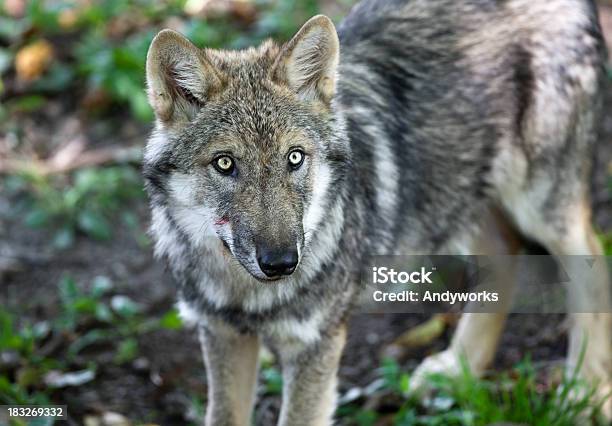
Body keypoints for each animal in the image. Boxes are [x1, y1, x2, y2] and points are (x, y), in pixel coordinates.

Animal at [145, 0, 612, 422]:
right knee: (506, 253)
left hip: (541, 205)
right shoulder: (222, 334)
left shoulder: (316, 346)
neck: (246, 296)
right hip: (458, 196)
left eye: (294, 158)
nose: (281, 263)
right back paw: (457, 370)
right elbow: (223, 414)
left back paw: (586, 391)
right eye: (225, 164)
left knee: (592, 263)